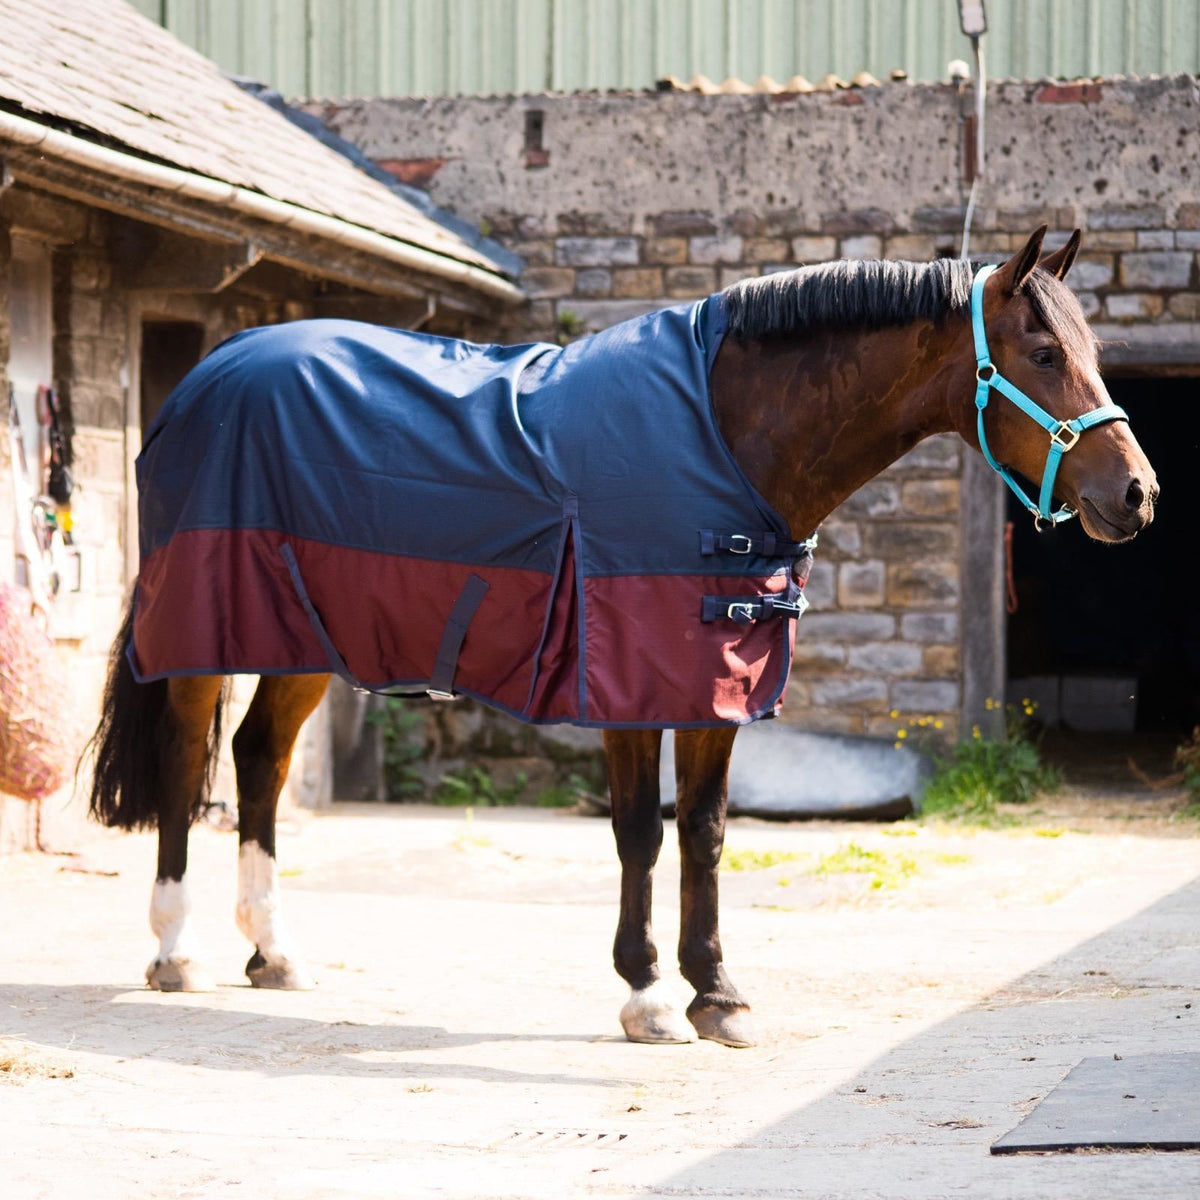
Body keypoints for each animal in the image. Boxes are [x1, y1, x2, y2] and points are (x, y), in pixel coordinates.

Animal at [87, 227, 1157, 1048]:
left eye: (1093, 349)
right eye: (1044, 355)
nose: (1138, 494)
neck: (722, 434)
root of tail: (205, 377)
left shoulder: (716, 680)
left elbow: (707, 833)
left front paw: (718, 995)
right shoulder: (627, 680)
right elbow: (642, 830)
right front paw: (647, 995)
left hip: (304, 642)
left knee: (259, 760)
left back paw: (273, 953)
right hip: (206, 631)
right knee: (186, 761)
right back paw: (176, 950)